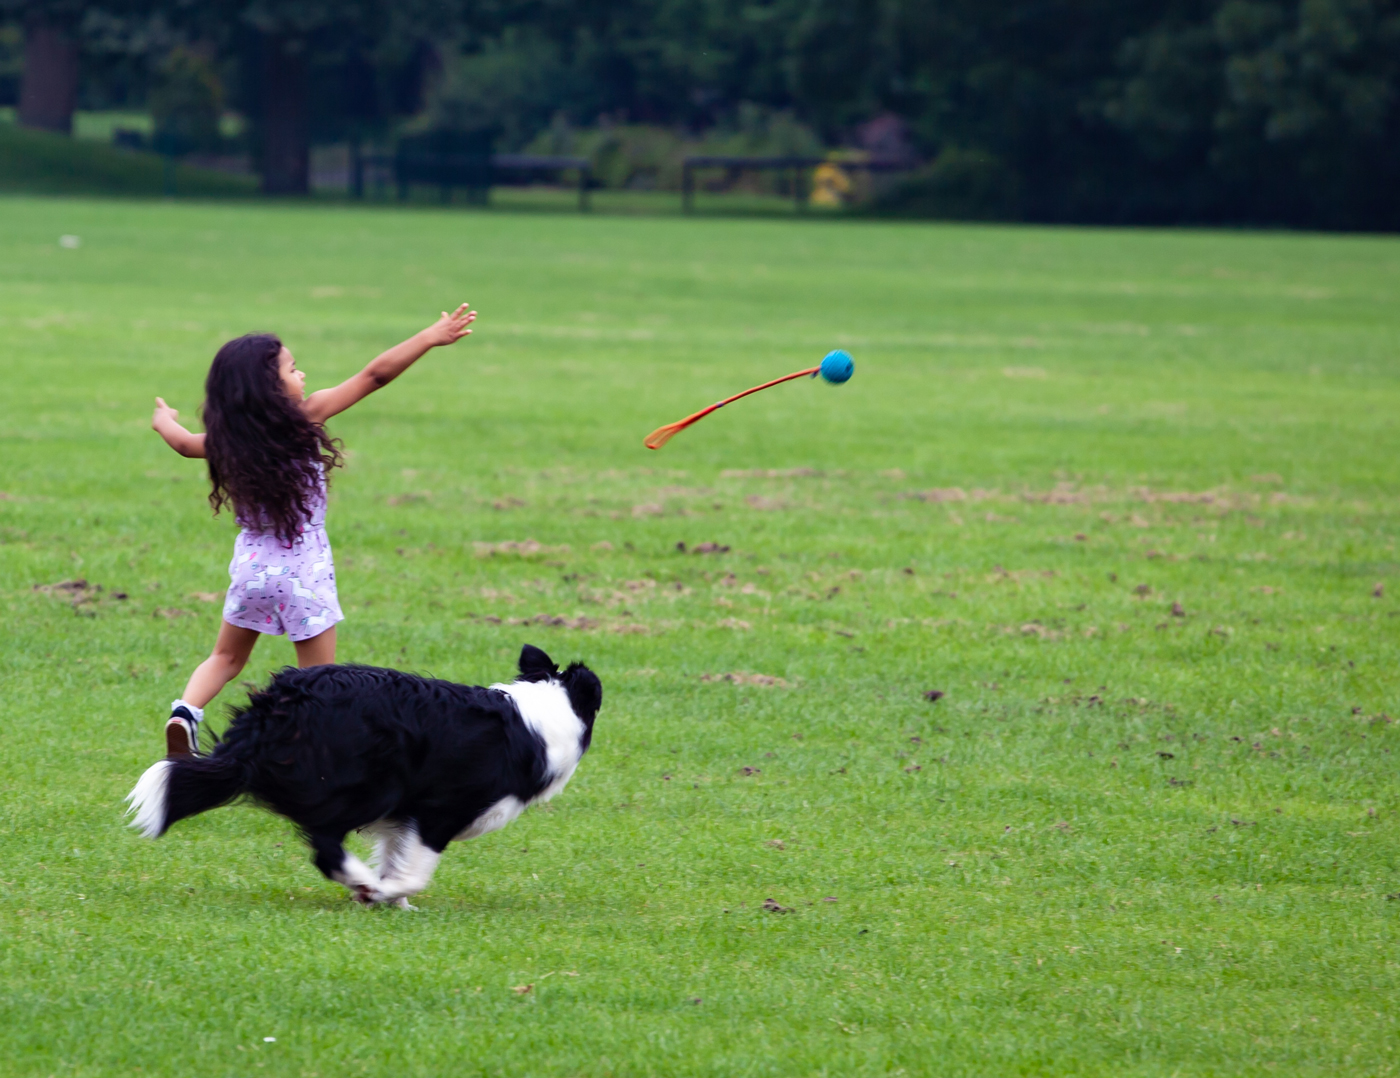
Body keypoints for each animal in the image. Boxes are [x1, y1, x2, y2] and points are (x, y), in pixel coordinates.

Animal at [124, 644, 596, 901]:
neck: (541, 713)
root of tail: (277, 706)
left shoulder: (404, 815)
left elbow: (394, 854)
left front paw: (392, 900)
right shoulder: (441, 808)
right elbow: (416, 872)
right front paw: (386, 892)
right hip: (368, 785)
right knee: (324, 845)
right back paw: (362, 883)